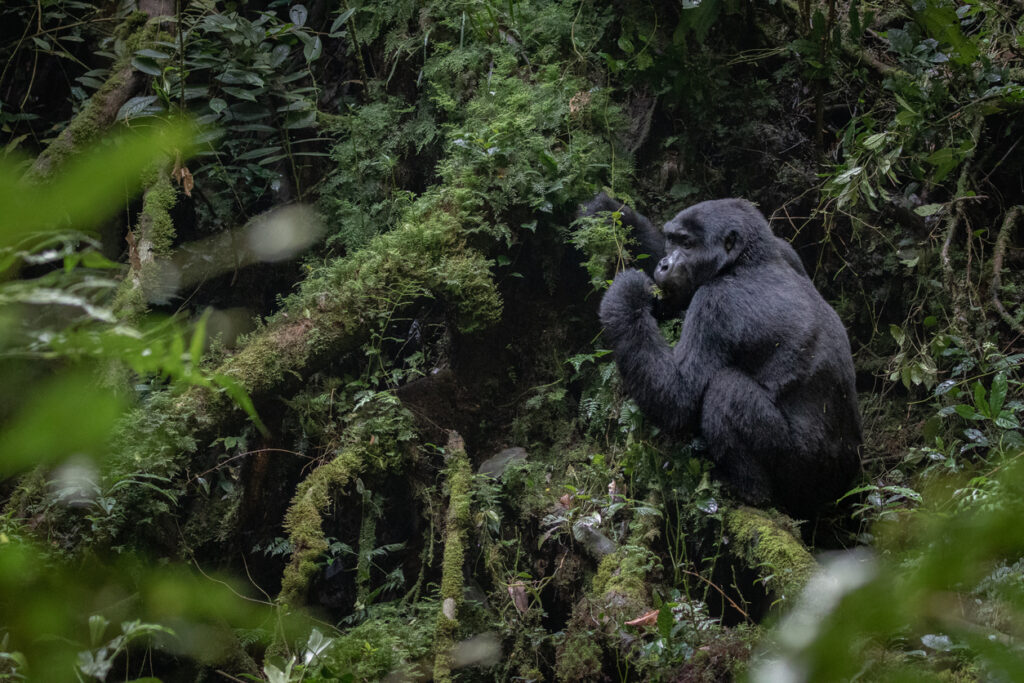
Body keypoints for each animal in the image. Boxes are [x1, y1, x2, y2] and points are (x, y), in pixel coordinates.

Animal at [585, 194, 864, 516]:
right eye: (671, 241)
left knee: (726, 390)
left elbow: (679, 400)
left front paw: (626, 294)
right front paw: (614, 213)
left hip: (806, 470)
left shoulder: (715, 304)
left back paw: (751, 492)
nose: (665, 264)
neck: (748, 260)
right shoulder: (785, 249)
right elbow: (673, 300)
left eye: (687, 244)